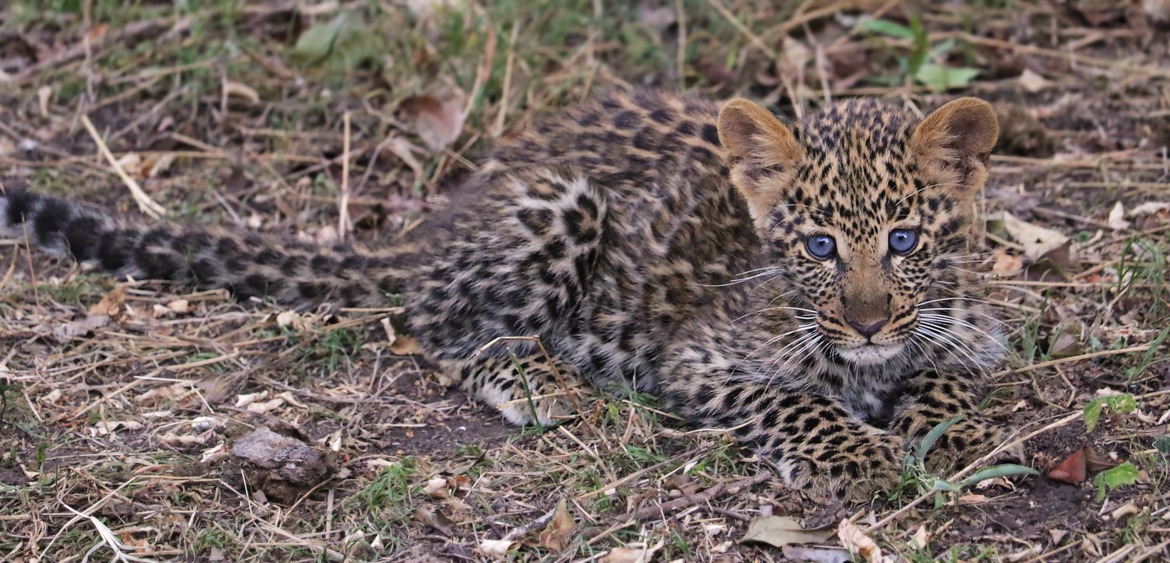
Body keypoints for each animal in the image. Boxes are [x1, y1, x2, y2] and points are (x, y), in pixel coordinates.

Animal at [0, 89, 1012, 501]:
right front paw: (867, 452)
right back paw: (544, 387)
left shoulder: (968, 329)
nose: (868, 322)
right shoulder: (698, 358)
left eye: (905, 240)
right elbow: (797, 402)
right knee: (451, 337)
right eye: (818, 246)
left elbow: (953, 373)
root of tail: (435, 225)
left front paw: (949, 434)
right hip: (558, 206)